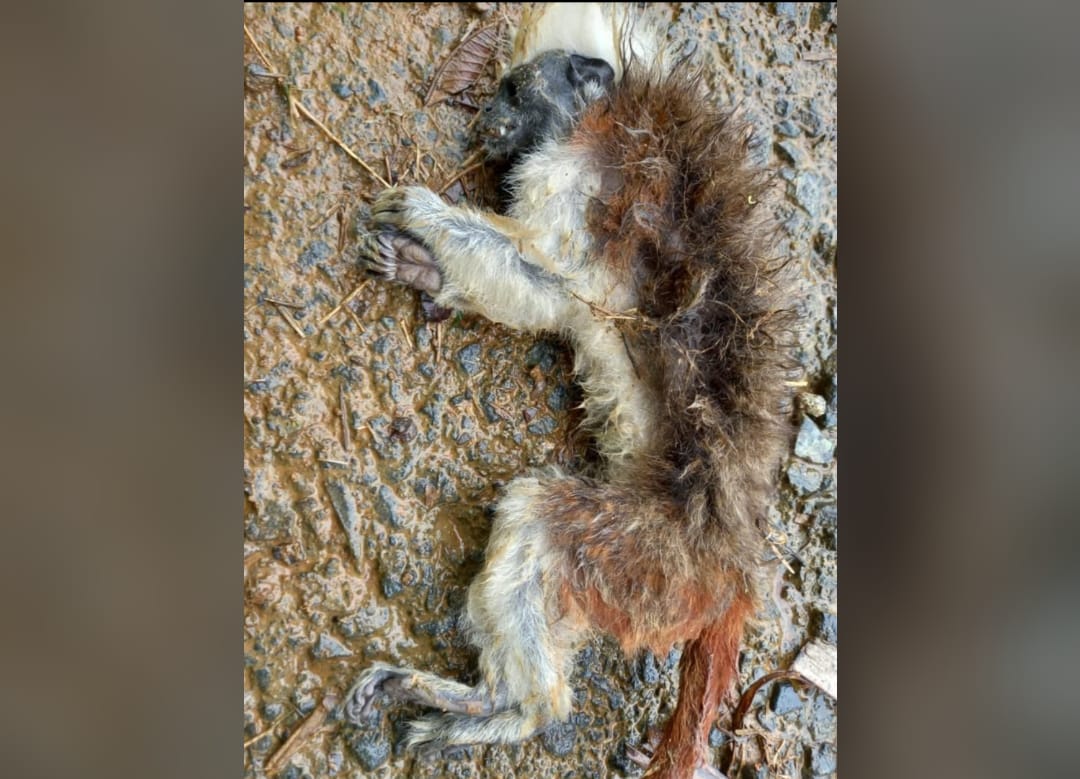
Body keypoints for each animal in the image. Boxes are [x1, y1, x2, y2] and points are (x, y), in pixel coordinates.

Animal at [342, 5, 797, 777]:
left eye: (515, 91)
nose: (483, 117)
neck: (609, 114)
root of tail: (728, 573)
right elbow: (539, 297)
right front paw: (420, 267)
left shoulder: (581, 180)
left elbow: (547, 272)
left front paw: (427, 216)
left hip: (642, 560)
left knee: (535, 515)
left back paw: (512, 708)